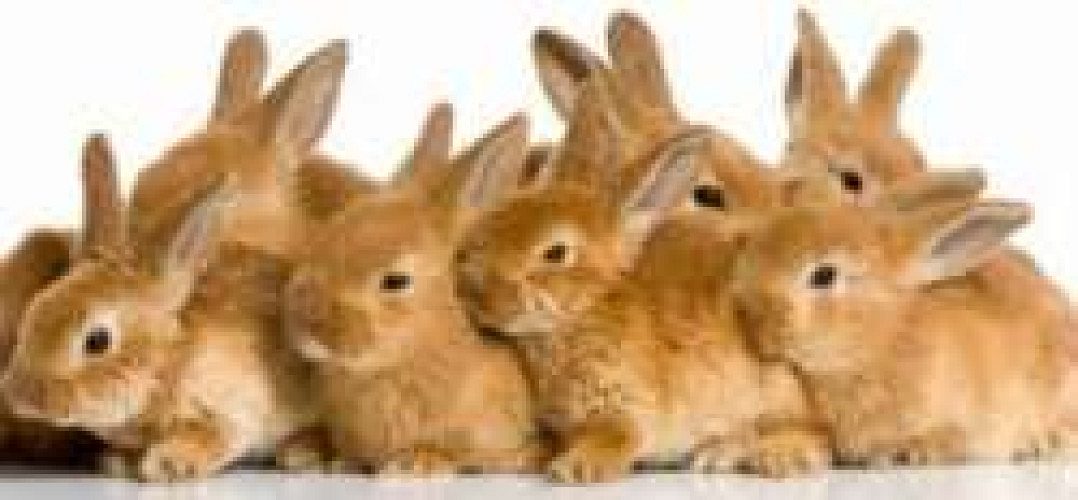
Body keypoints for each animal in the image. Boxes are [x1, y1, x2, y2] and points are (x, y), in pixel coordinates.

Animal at [1, 134, 314, 482]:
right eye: (35, 309)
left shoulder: (233, 411)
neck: (166, 363)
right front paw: (118, 464)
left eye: (97, 341)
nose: (21, 396)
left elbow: (214, 437)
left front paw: (167, 464)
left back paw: (301, 454)